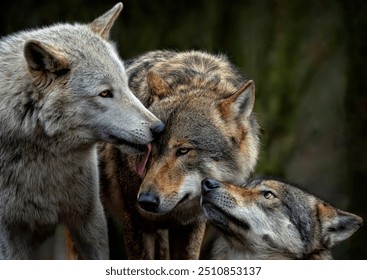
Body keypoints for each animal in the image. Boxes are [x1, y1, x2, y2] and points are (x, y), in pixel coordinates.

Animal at [95, 49, 262, 258]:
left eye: (183, 150)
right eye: (149, 149)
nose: (146, 201)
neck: (197, 80)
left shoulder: (191, 225)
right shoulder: (136, 223)